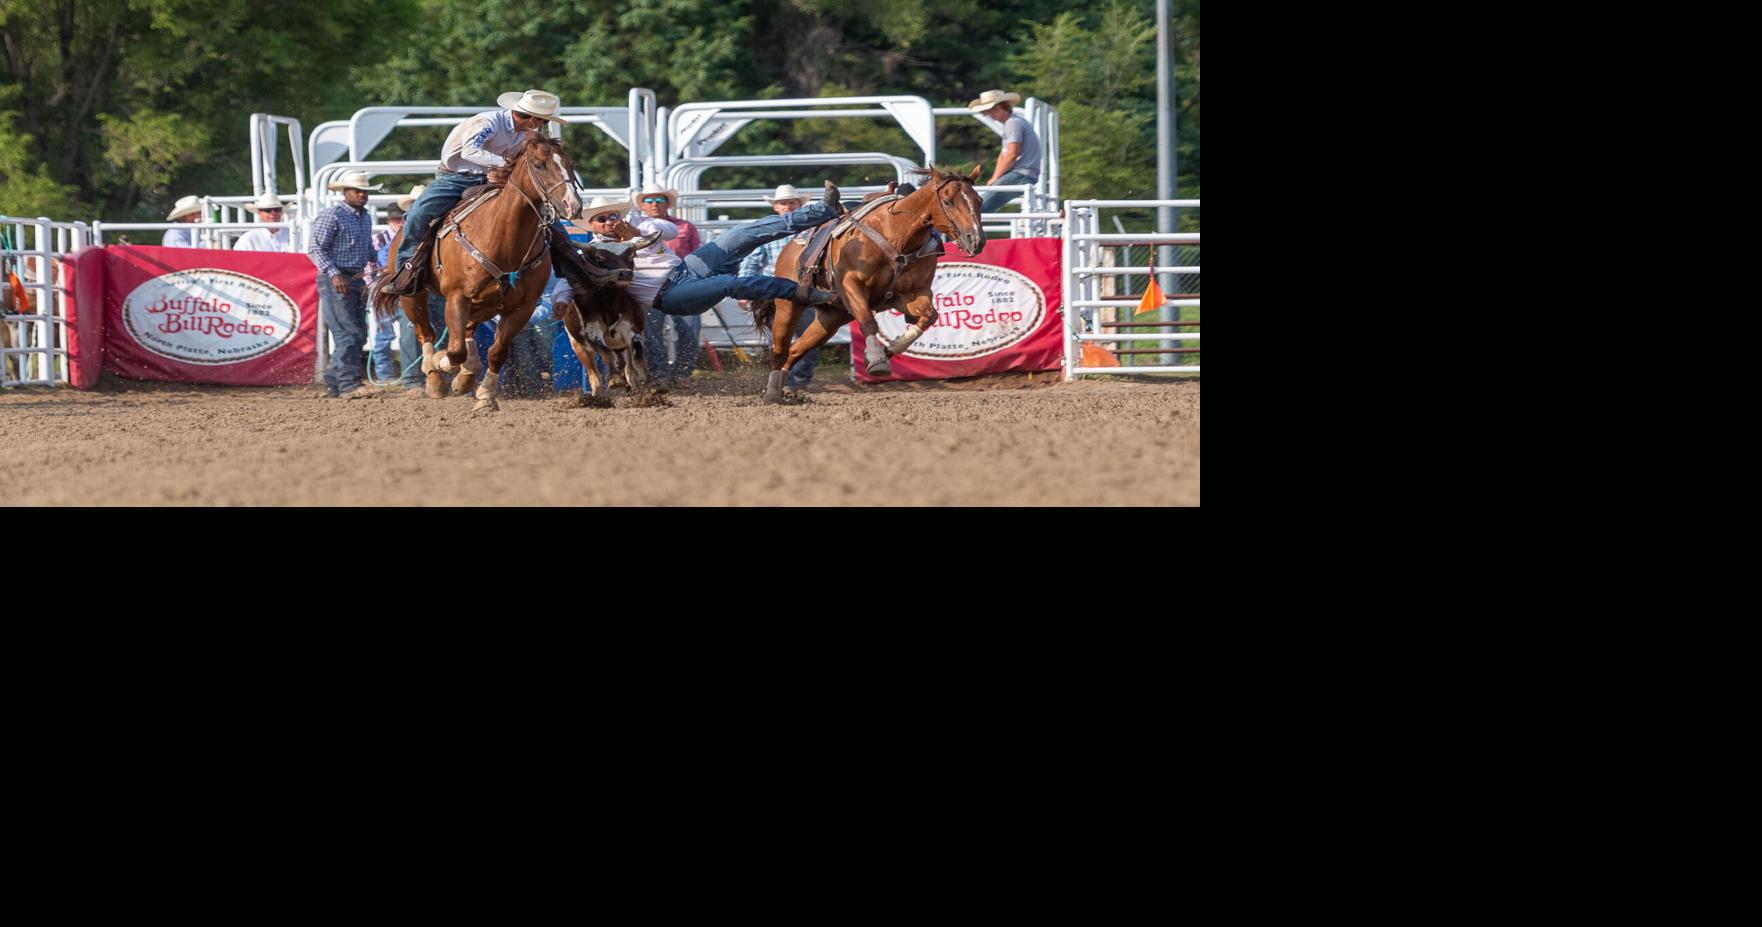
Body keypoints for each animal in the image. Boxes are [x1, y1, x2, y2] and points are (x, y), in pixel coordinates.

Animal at [375, 132, 581, 414]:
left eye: (570, 163)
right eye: (540, 165)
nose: (573, 205)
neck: (504, 238)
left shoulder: (522, 308)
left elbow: (496, 351)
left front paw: (485, 396)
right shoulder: (456, 297)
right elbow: (455, 350)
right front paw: (444, 364)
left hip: (487, 304)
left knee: (469, 330)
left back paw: (466, 376)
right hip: (412, 296)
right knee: (426, 332)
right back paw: (435, 378)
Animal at [750, 164, 986, 403]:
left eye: (979, 200)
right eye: (947, 201)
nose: (976, 240)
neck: (897, 235)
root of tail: (787, 249)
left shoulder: (911, 294)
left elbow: (929, 316)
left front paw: (891, 349)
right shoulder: (852, 285)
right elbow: (868, 321)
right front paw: (876, 359)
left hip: (832, 318)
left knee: (795, 350)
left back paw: (784, 389)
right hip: (789, 305)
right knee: (780, 349)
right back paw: (772, 393)